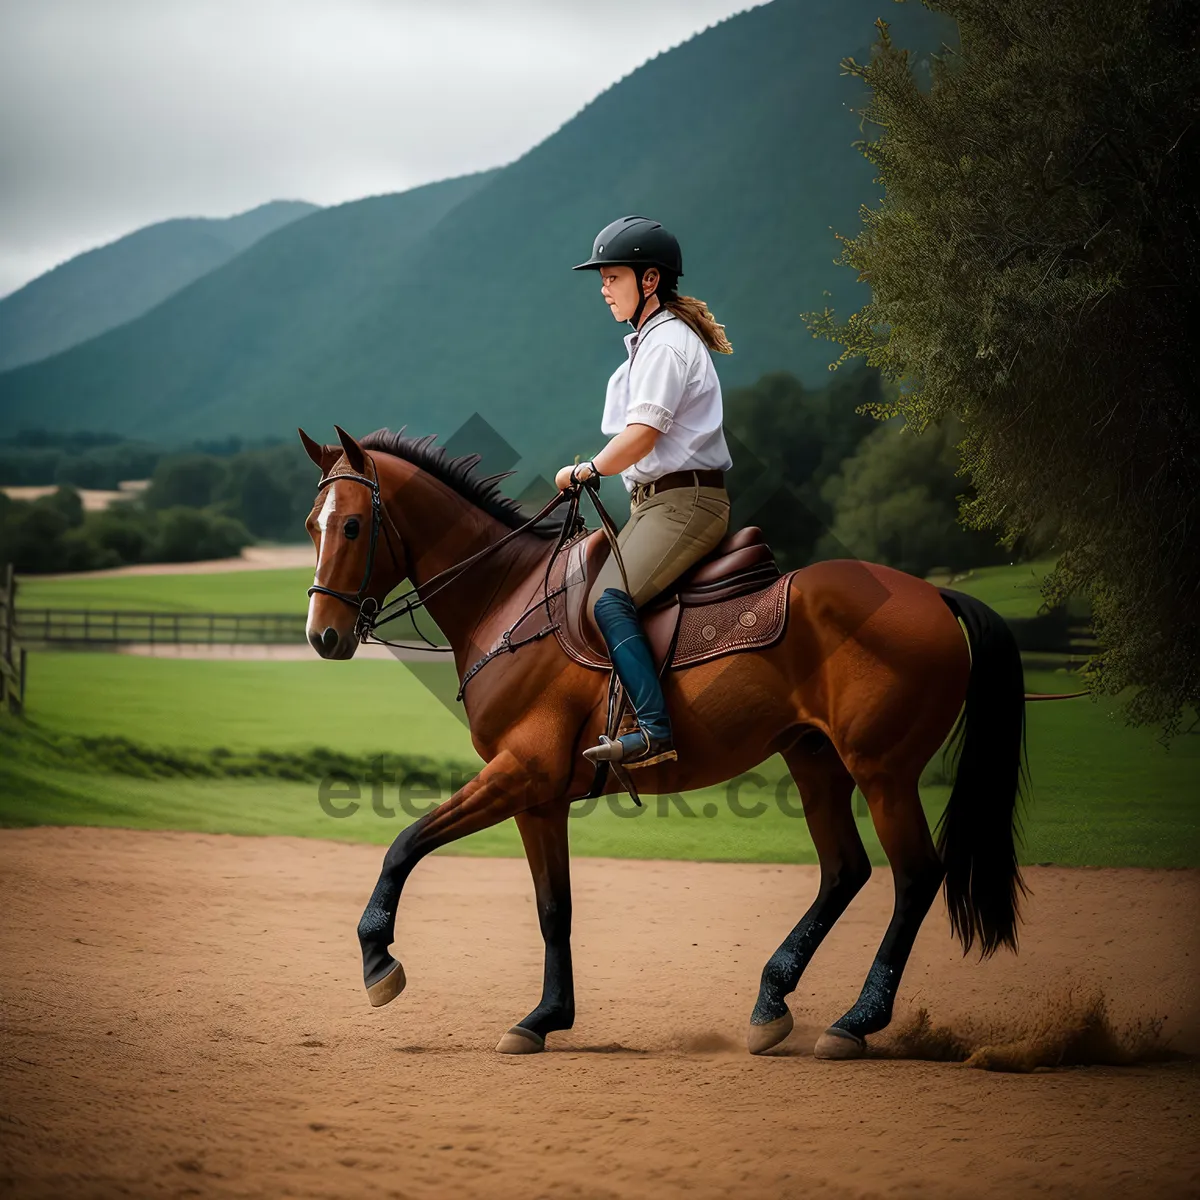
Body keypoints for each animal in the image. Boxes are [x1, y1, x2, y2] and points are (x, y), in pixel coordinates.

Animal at [300, 424, 1032, 1060]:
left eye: (352, 525)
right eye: (312, 525)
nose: (322, 636)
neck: (507, 599)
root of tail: (935, 596)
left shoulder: (520, 772)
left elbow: (404, 845)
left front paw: (378, 960)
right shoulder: (539, 797)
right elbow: (553, 907)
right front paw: (545, 1017)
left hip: (882, 772)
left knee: (915, 877)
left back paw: (855, 1022)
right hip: (814, 758)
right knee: (845, 871)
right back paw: (772, 1003)